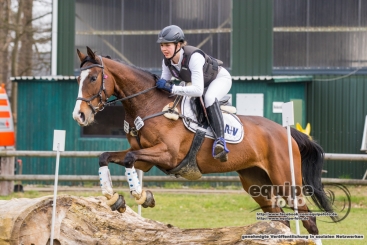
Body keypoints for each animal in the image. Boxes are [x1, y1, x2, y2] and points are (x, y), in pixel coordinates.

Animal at [72, 47, 336, 238]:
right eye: (77, 79)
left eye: (93, 77)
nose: (79, 116)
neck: (149, 106)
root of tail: (285, 132)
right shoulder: (144, 156)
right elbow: (105, 157)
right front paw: (113, 197)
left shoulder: (167, 155)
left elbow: (128, 159)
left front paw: (142, 196)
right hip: (255, 182)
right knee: (279, 219)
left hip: (286, 181)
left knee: (308, 219)